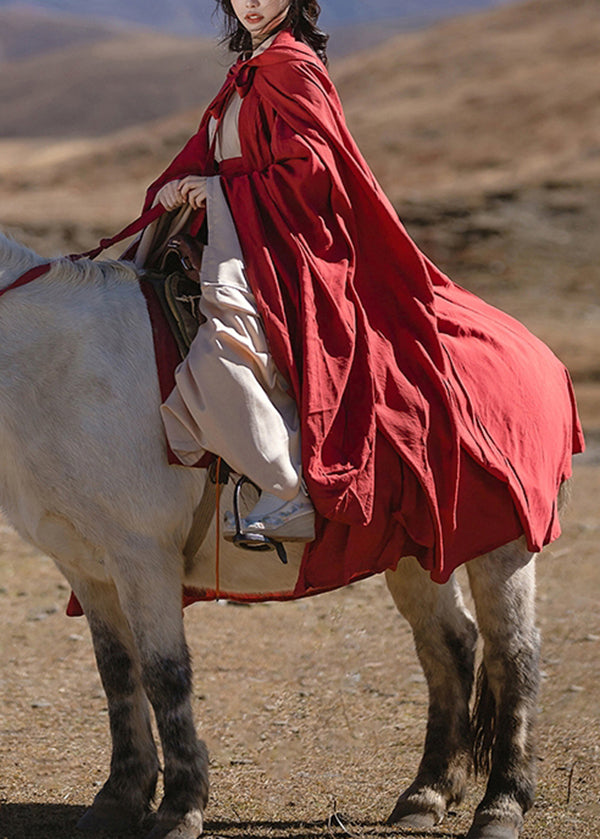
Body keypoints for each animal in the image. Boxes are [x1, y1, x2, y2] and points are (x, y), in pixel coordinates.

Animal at [0, 231, 552, 839]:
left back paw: (502, 805)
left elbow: (165, 675)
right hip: (416, 551)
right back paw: (426, 794)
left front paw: (180, 808)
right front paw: (119, 799)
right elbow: (119, 674)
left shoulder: (143, 560)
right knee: (449, 644)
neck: (56, 369)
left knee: (512, 654)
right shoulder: (87, 567)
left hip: (503, 548)